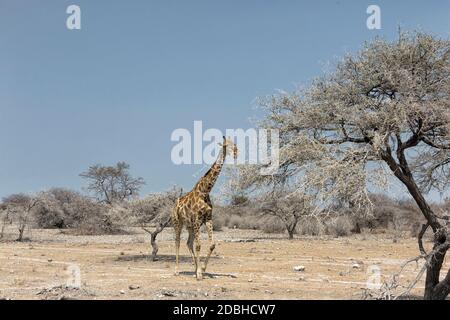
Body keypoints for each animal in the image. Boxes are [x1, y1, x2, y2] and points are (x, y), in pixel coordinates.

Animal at [171, 136, 237, 280]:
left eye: (234, 144)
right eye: (226, 144)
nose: (236, 151)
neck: (205, 191)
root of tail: (174, 205)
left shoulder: (207, 219)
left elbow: (211, 244)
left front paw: (202, 269)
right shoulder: (197, 219)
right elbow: (199, 245)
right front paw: (200, 274)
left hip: (189, 225)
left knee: (188, 243)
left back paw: (194, 269)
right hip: (178, 222)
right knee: (178, 242)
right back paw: (177, 270)